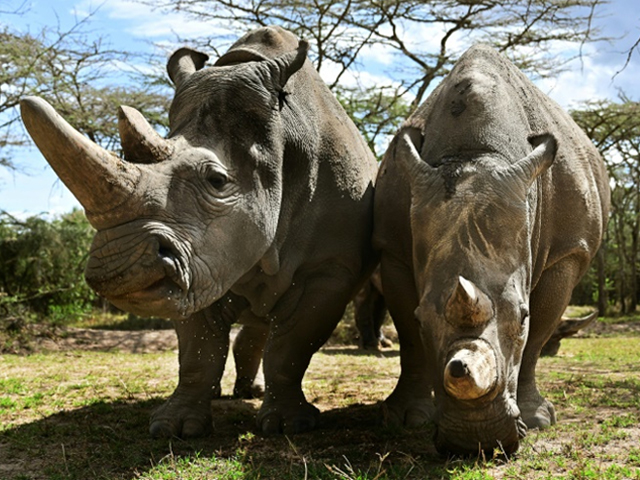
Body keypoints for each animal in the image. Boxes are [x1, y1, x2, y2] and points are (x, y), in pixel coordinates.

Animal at [21, 27, 380, 438]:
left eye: (217, 181)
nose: (117, 268)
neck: (282, 137)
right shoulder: (197, 263)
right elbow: (198, 348)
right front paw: (175, 428)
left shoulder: (330, 267)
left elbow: (291, 345)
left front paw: (289, 426)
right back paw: (235, 392)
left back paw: (255, 394)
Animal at [376, 44, 608, 454]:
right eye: (422, 319)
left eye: (522, 317)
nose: (476, 442)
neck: (475, 151)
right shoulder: (393, 247)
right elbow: (407, 335)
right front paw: (406, 418)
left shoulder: (569, 252)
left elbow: (539, 334)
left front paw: (537, 418)